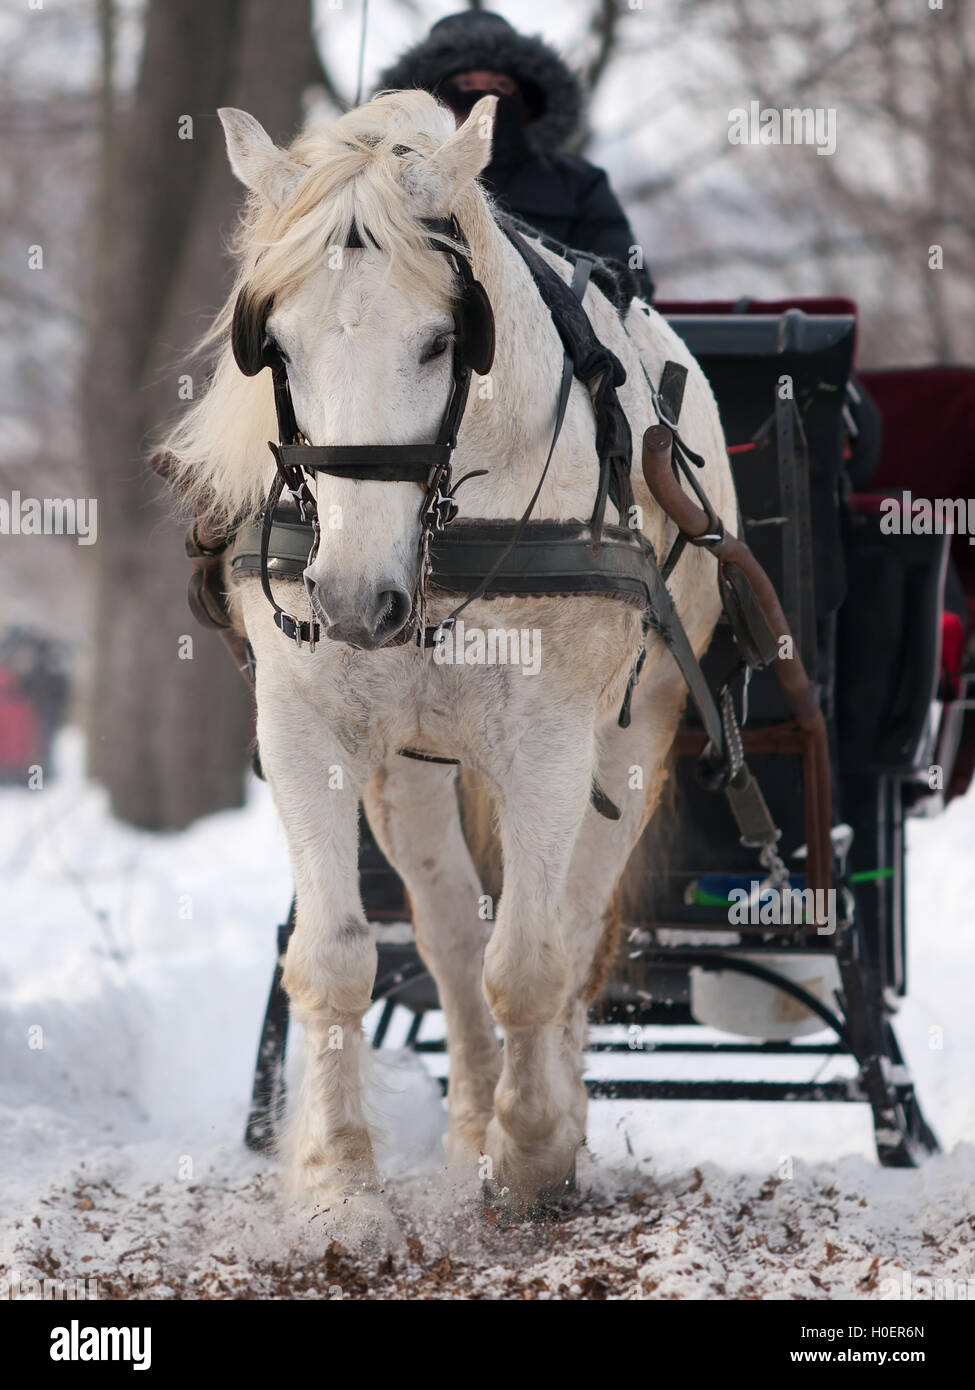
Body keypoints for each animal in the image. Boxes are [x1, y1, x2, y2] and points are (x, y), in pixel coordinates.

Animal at [165, 92, 728, 1245]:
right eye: (275, 346)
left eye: (440, 342)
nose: (352, 600)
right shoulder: (307, 731)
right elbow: (338, 955)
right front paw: (339, 1183)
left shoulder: (551, 743)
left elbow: (533, 963)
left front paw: (534, 1156)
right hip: (411, 768)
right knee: (450, 934)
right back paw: (472, 1119)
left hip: (636, 735)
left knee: (568, 932)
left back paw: (547, 1119)